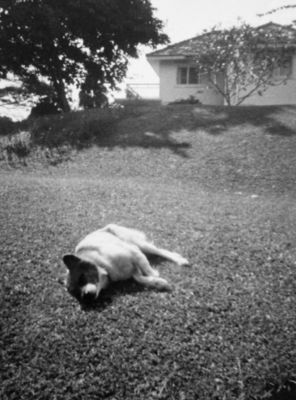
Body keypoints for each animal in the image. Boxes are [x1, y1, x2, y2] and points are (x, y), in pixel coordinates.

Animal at [61, 223, 190, 302]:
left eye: (82, 278)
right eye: (76, 293)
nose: (86, 297)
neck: (103, 267)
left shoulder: (133, 251)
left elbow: (147, 268)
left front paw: (155, 275)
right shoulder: (133, 269)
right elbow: (140, 278)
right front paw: (159, 283)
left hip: (138, 243)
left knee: (160, 251)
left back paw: (179, 260)